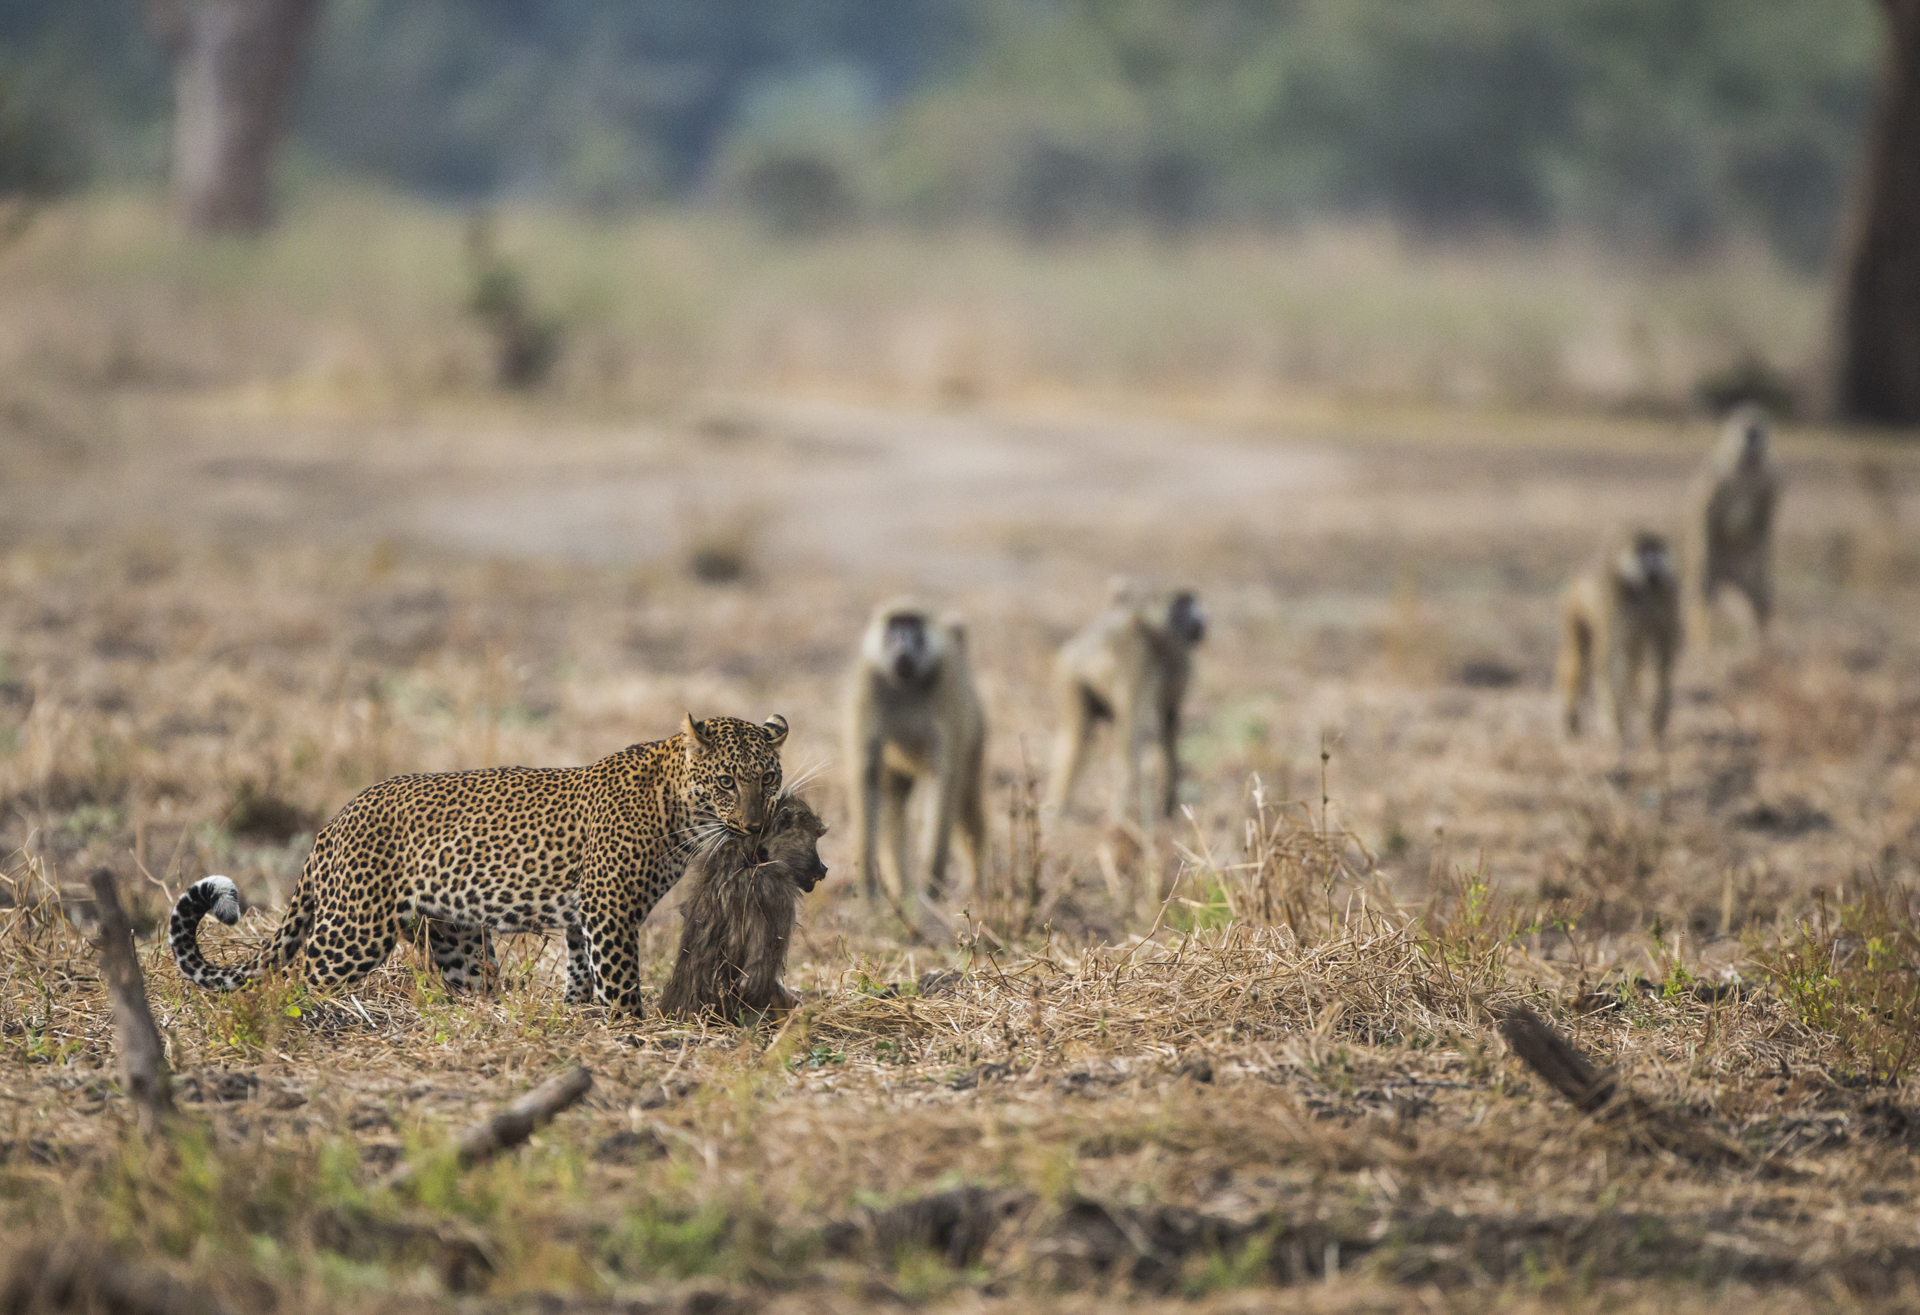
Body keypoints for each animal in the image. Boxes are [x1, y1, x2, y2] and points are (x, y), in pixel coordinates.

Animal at [167, 714, 787, 1013]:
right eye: (728, 781)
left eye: (769, 777)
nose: (758, 827)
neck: (678, 807)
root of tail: (335, 821)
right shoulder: (608, 911)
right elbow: (619, 983)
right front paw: (628, 1033)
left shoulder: (581, 918)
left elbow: (582, 975)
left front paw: (577, 1020)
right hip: (354, 931)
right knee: (296, 979)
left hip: (455, 937)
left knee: (470, 984)